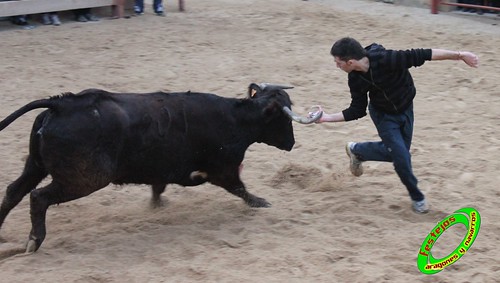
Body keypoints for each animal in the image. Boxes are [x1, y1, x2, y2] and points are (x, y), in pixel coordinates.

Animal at [0, 82, 320, 253]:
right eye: (284, 119)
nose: (291, 143)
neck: (237, 118)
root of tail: (62, 104)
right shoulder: (224, 169)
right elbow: (239, 188)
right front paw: (260, 202)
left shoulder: (165, 168)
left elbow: (159, 186)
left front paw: (156, 205)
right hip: (84, 179)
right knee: (38, 197)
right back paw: (33, 241)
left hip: (35, 165)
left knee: (14, 191)